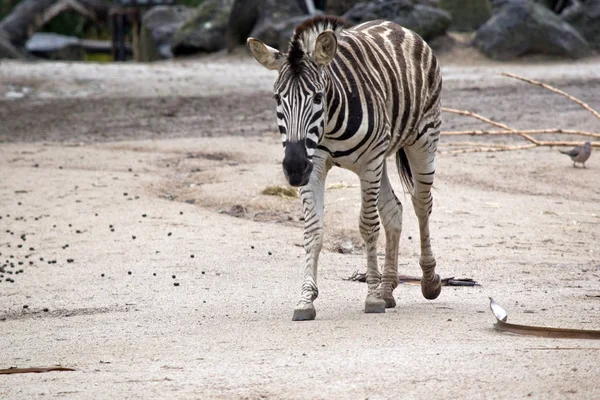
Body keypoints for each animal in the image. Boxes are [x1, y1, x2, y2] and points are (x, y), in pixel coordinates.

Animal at [246, 16, 442, 322]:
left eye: (317, 97)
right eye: (278, 98)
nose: (293, 167)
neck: (330, 125)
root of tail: (397, 26)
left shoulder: (369, 161)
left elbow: (368, 226)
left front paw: (371, 297)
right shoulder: (314, 164)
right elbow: (313, 230)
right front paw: (306, 299)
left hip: (423, 139)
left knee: (421, 204)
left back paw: (429, 280)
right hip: (381, 159)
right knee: (394, 210)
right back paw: (388, 290)